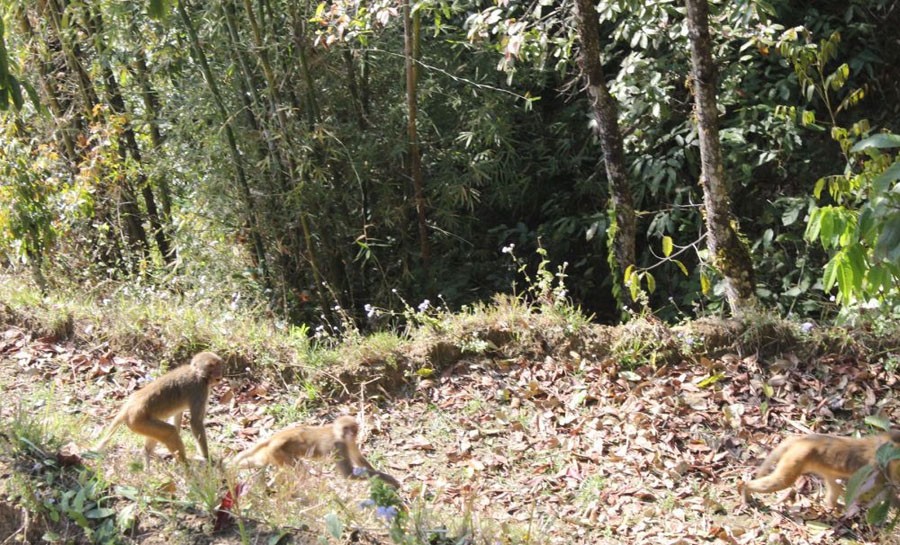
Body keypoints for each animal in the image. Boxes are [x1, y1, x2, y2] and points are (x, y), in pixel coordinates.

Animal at [95, 350, 225, 466]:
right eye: (212, 367)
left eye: (219, 365)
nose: (219, 373)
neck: (198, 374)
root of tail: (128, 407)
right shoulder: (200, 390)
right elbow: (195, 423)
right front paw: (207, 457)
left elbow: (178, 414)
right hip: (137, 421)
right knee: (170, 432)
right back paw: (186, 465)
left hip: (139, 423)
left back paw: (147, 454)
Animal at [232, 414, 400, 486]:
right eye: (350, 429)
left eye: (355, 429)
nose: (354, 433)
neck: (338, 433)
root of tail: (276, 437)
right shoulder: (339, 446)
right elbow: (348, 474)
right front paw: (387, 479)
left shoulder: (349, 442)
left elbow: (359, 460)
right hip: (278, 451)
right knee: (300, 471)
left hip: (272, 453)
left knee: (260, 462)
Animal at [740, 430, 900, 510]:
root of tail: (802, 439)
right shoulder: (881, 466)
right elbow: (882, 490)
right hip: (795, 458)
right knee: (781, 481)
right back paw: (745, 487)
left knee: (833, 485)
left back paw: (832, 505)